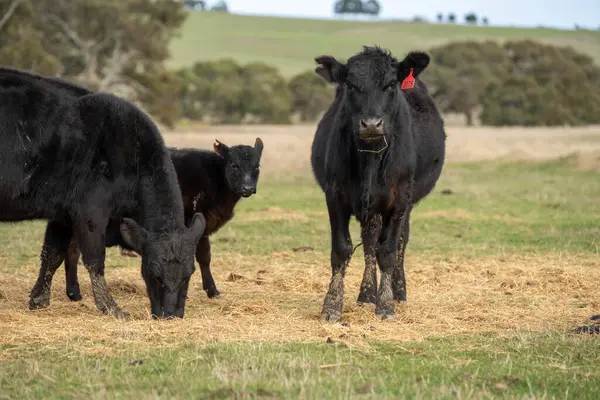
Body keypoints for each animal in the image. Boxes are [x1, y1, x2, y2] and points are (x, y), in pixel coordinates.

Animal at [0, 69, 206, 318]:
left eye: (189, 273)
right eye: (154, 271)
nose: (171, 314)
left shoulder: (62, 214)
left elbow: (52, 254)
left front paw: (39, 299)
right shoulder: (91, 213)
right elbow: (94, 259)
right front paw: (110, 307)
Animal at [61, 138, 264, 300]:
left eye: (257, 167)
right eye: (234, 165)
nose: (248, 187)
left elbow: (204, 257)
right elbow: (201, 256)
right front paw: (208, 290)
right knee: (72, 253)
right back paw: (74, 292)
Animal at [314, 46, 446, 322]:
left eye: (390, 84)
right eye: (350, 84)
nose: (372, 124)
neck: (371, 159)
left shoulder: (399, 199)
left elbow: (387, 251)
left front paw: (385, 305)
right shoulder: (335, 195)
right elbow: (342, 250)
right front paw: (331, 306)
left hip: (405, 204)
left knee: (399, 241)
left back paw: (398, 291)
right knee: (370, 240)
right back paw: (367, 294)